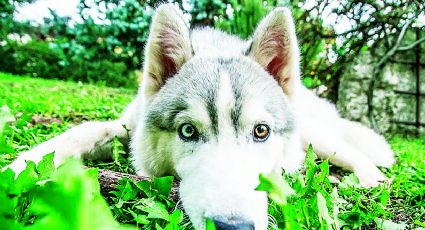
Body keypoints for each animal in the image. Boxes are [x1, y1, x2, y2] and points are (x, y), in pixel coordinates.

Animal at [4, 4, 394, 230]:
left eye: (261, 132)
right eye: (188, 131)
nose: (233, 228)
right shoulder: (122, 127)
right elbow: (75, 134)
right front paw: (17, 168)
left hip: (317, 137)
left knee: (352, 153)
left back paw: (368, 180)